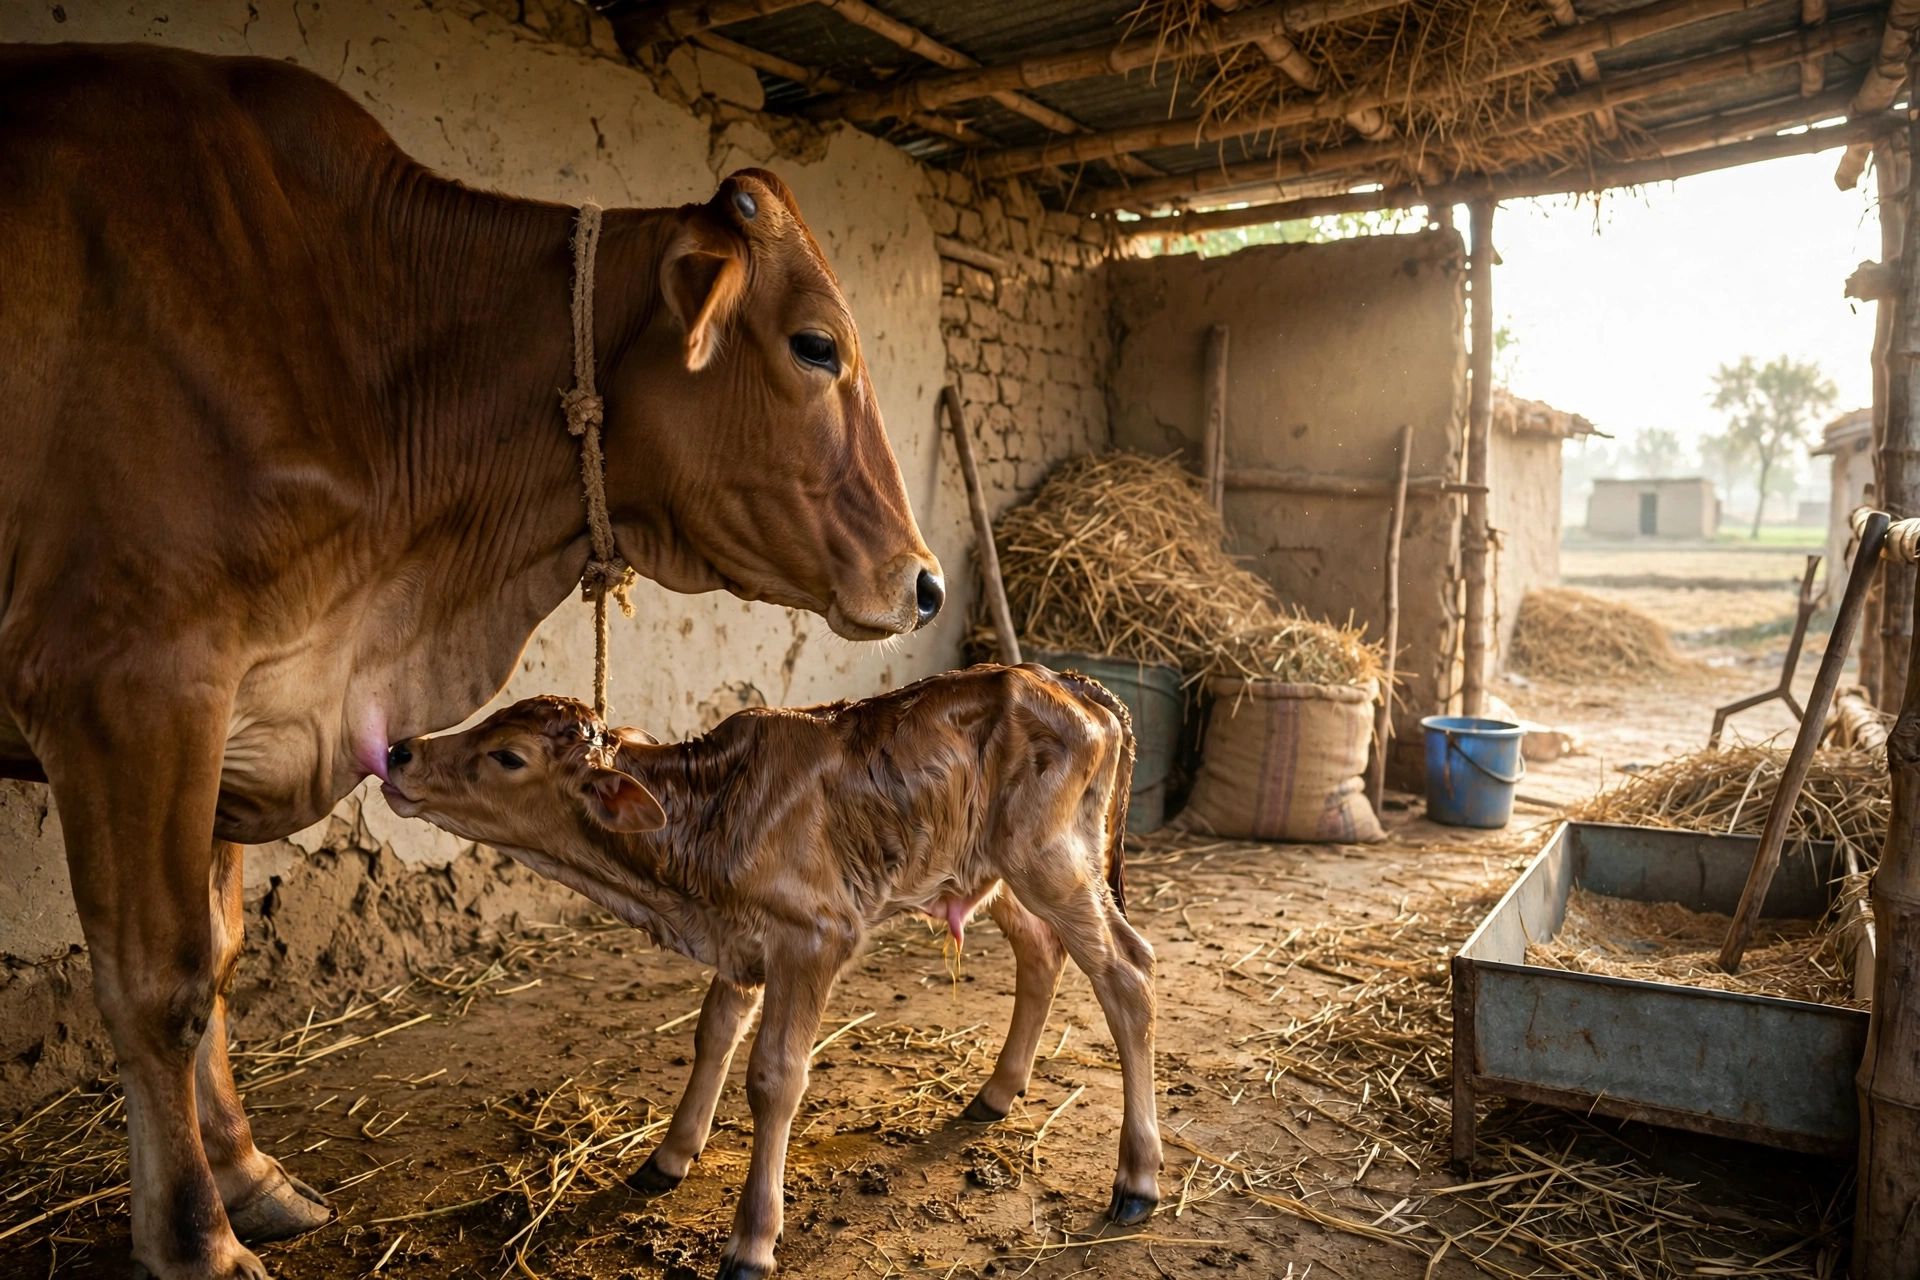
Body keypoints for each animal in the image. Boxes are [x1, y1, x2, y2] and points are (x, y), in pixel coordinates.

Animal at [0, 42, 942, 1280]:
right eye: (817, 343)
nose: (926, 581)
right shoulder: (131, 684)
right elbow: (160, 985)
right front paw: (198, 1236)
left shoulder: (240, 699)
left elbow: (219, 955)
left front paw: (247, 1172)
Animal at [381, 669, 1162, 1280]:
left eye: (508, 756)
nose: (398, 749)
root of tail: (1072, 684)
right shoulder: (742, 942)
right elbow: (712, 1035)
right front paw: (669, 1157)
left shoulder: (815, 937)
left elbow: (773, 1076)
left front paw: (751, 1242)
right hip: (993, 869)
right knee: (1041, 952)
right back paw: (996, 1094)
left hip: (1049, 860)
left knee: (1130, 973)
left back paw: (1137, 1179)